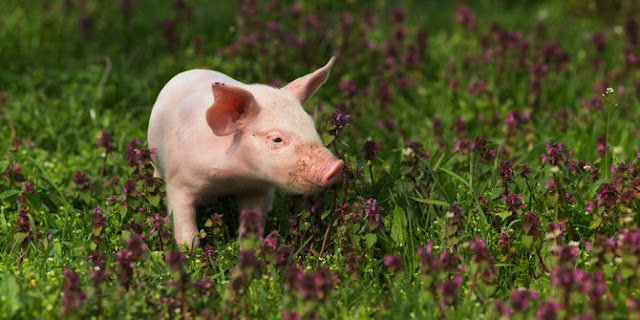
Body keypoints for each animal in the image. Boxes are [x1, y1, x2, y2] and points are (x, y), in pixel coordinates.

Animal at [149, 57, 344, 248]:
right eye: (276, 139)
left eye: (311, 125)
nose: (337, 166)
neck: (233, 178)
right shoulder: (178, 181)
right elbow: (185, 226)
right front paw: (189, 252)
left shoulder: (259, 189)